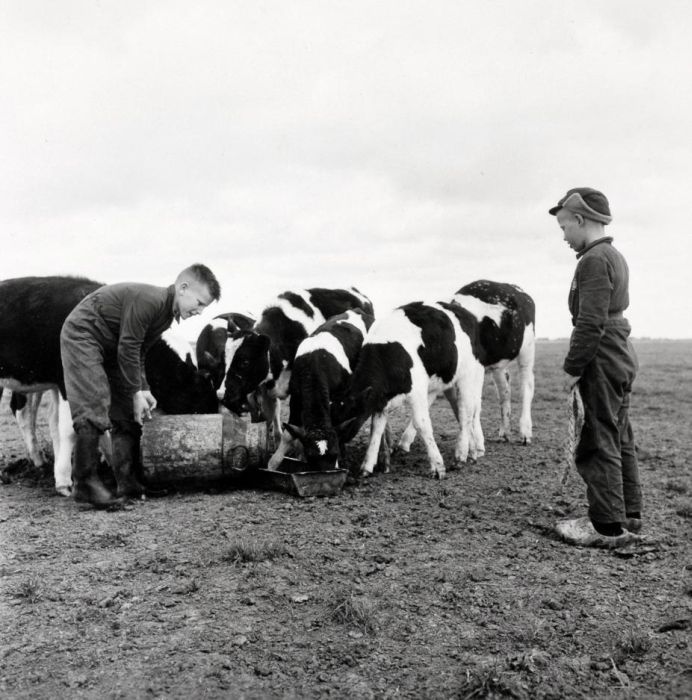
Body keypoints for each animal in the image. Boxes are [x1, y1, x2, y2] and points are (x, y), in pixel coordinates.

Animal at [266, 308, 374, 474]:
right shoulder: (296, 398)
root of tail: (357, 310)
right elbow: (289, 435)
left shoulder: (337, 401)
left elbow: (337, 430)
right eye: (312, 457)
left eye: (334, 453)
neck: (314, 367)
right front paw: (273, 464)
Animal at [336, 298, 486, 478]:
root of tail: (463, 311)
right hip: (439, 382)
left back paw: (461, 455)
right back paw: (472, 452)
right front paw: (366, 466)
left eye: (345, 423)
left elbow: (422, 424)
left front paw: (438, 466)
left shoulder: (415, 392)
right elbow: (376, 430)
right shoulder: (381, 400)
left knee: (466, 413)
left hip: (468, 375)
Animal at [454, 278, 536, 442]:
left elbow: (474, 404)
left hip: (527, 351)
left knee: (527, 387)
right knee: (505, 391)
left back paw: (525, 431)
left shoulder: (477, 369)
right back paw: (505, 431)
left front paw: (476, 439)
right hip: (498, 363)